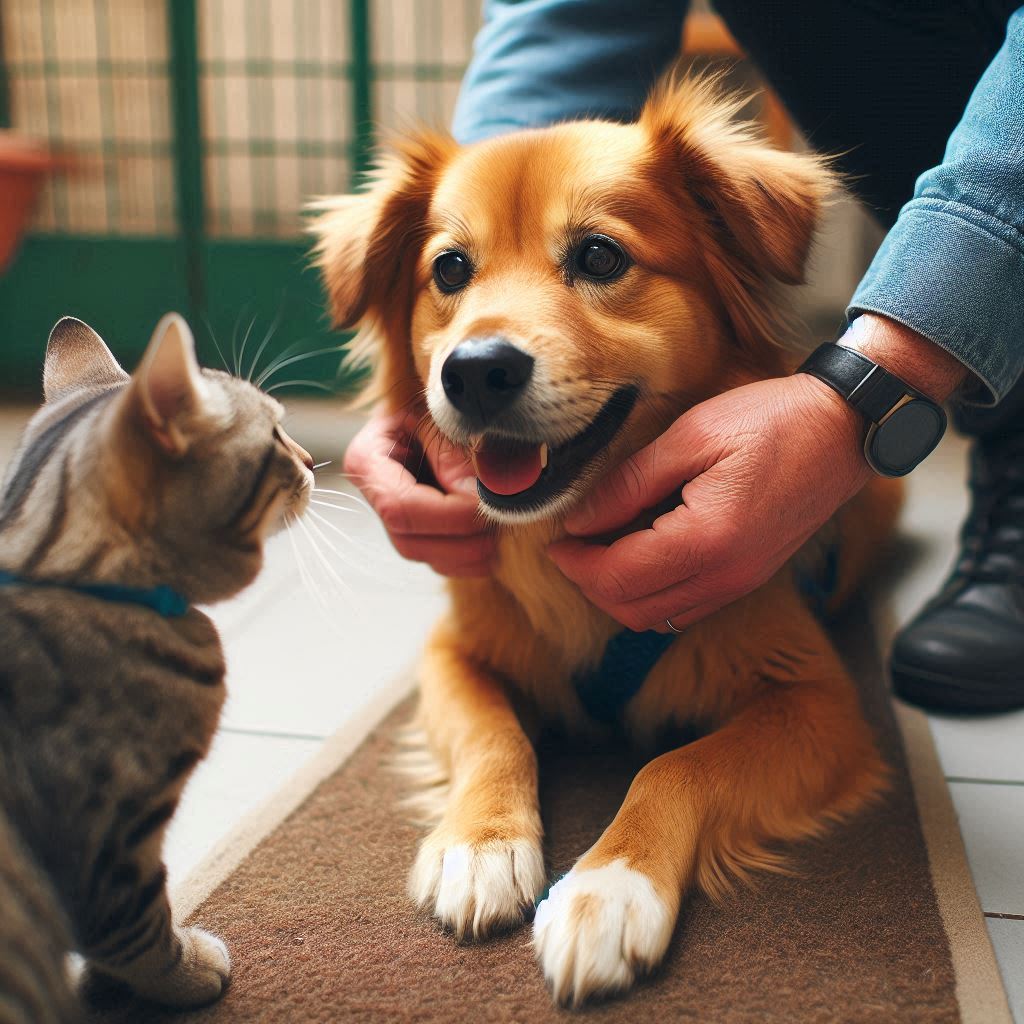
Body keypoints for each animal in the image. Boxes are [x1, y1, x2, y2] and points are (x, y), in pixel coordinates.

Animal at [309, 75, 897, 1003]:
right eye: (449, 269)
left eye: (598, 258)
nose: (474, 371)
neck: (556, 542)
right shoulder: (454, 653)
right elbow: (493, 735)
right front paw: (481, 846)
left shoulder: (817, 704)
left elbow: (677, 765)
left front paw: (610, 887)